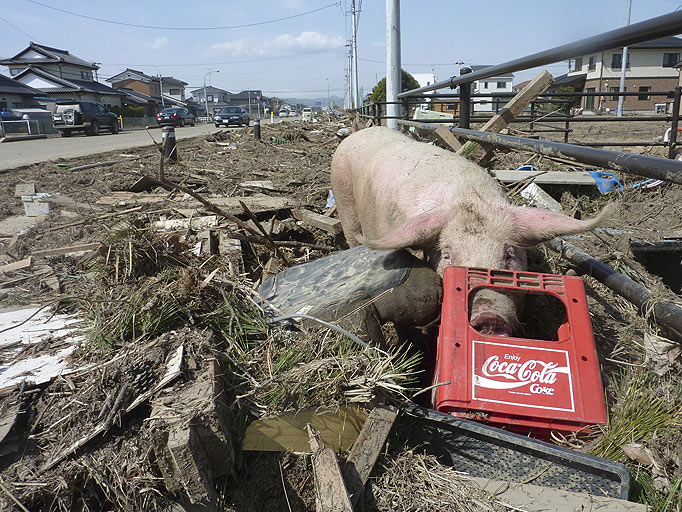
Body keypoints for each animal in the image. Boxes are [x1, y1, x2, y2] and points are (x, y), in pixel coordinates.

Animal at [330, 127, 612, 336]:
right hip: (344, 200)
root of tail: (358, 133)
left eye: (509, 254)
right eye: (447, 255)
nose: (488, 316)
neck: (467, 197)